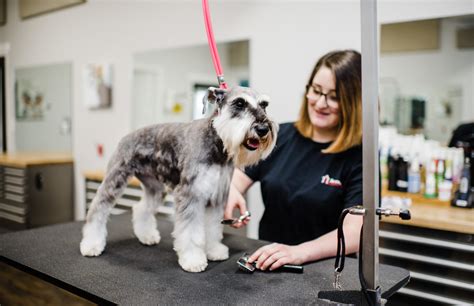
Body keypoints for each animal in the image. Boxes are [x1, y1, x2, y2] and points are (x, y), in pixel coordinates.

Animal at [78, 85, 278, 272]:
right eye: (239, 103)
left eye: (264, 105)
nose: (262, 128)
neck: (217, 144)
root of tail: (127, 136)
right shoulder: (191, 194)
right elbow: (191, 231)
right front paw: (193, 259)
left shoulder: (217, 197)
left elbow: (213, 227)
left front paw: (214, 250)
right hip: (115, 179)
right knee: (98, 209)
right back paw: (91, 244)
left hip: (155, 189)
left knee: (141, 208)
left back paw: (146, 236)